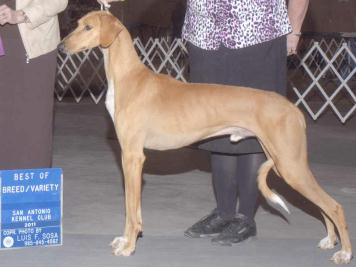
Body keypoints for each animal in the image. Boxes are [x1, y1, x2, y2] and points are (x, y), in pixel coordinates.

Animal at [59, 11, 354, 264]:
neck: (128, 79)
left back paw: (344, 252)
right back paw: (330, 240)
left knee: (334, 206)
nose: (61, 47)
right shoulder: (131, 159)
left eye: (88, 27)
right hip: (285, 164)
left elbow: (131, 209)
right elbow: (134, 210)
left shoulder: (132, 157)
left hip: (290, 166)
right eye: (77, 24)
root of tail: (294, 109)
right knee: (322, 205)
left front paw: (129, 246)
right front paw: (126, 239)